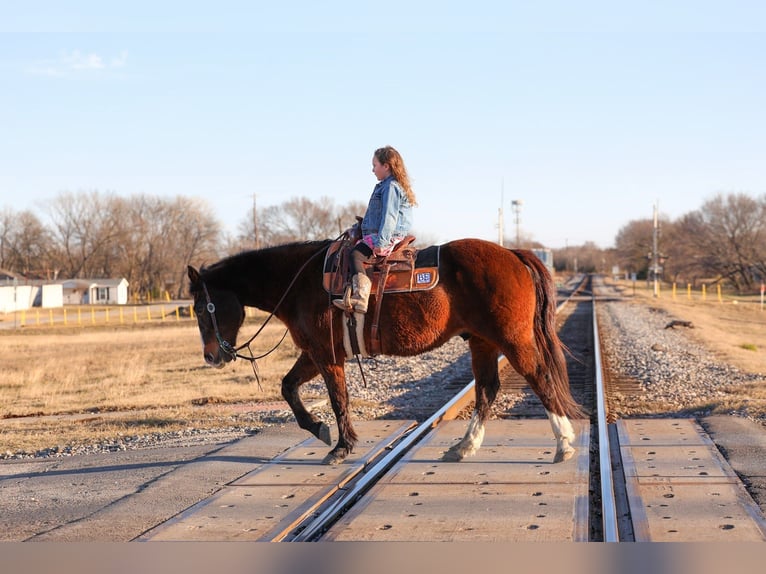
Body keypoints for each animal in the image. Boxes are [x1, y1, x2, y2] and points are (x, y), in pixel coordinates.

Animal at [186, 238, 584, 465]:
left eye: (201, 307)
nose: (211, 356)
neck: (299, 282)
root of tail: (512, 254)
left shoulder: (327, 355)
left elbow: (338, 400)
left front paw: (340, 446)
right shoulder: (314, 354)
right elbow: (288, 387)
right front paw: (320, 430)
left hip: (511, 340)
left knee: (540, 378)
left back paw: (564, 443)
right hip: (482, 341)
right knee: (487, 389)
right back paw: (463, 446)